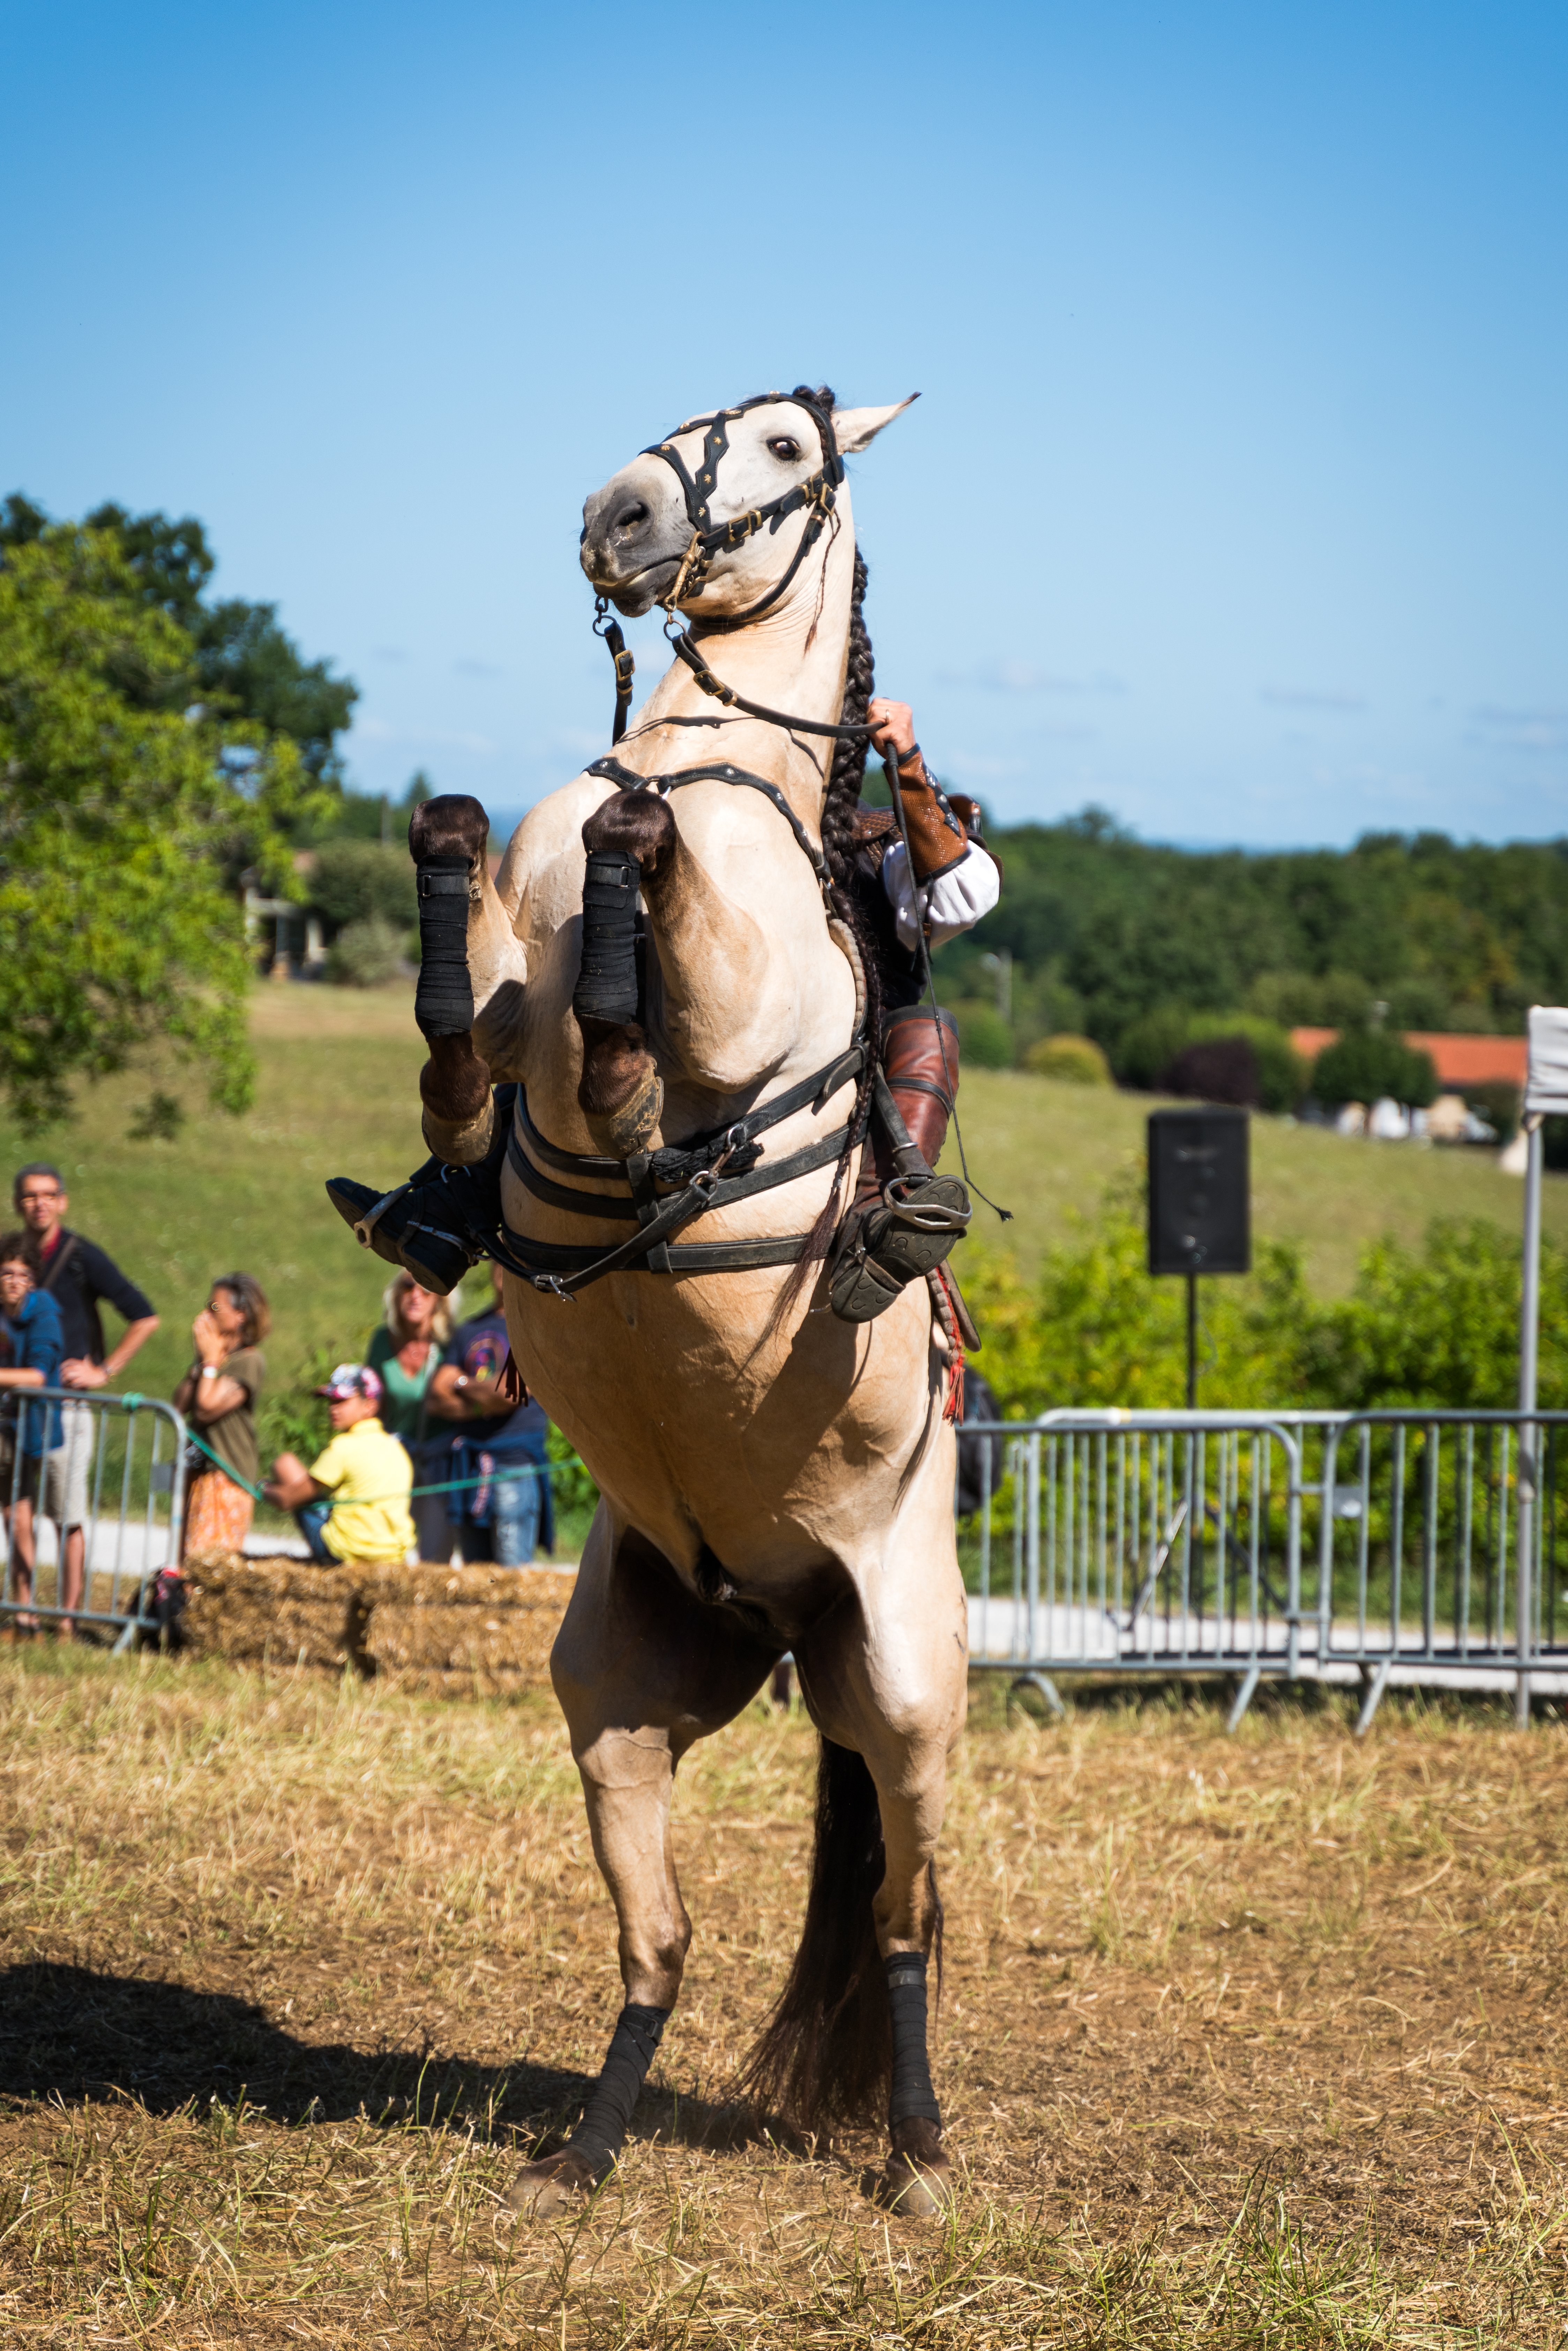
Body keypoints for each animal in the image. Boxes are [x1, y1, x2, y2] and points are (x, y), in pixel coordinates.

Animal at [359, 390, 968, 2219]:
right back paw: (588, 2148)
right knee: (663, 1941)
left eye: (781, 445)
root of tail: (780, 1616)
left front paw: (629, 1060)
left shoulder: (737, 999)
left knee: (905, 1922)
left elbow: (655, 969)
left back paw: (918, 2154)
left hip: (904, 1691)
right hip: (621, 1695)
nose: (615, 517)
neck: (707, 758)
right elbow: (465, 1009)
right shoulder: (502, 1005)